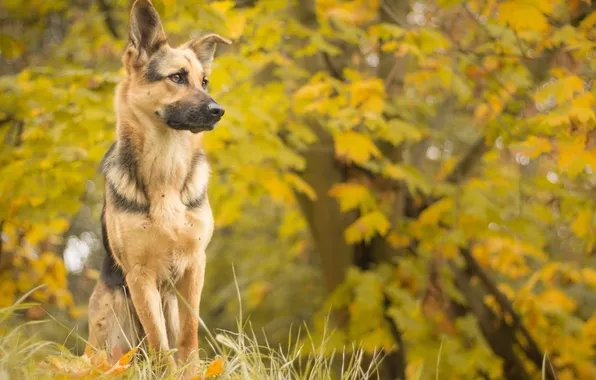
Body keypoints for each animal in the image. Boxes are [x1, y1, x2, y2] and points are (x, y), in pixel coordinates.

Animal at [86, 0, 230, 370]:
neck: (166, 167)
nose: (218, 110)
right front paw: (167, 371)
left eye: (204, 81)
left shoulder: (194, 266)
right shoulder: (140, 277)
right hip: (112, 327)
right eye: (177, 77)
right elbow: (158, 341)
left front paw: (191, 372)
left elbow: (187, 336)